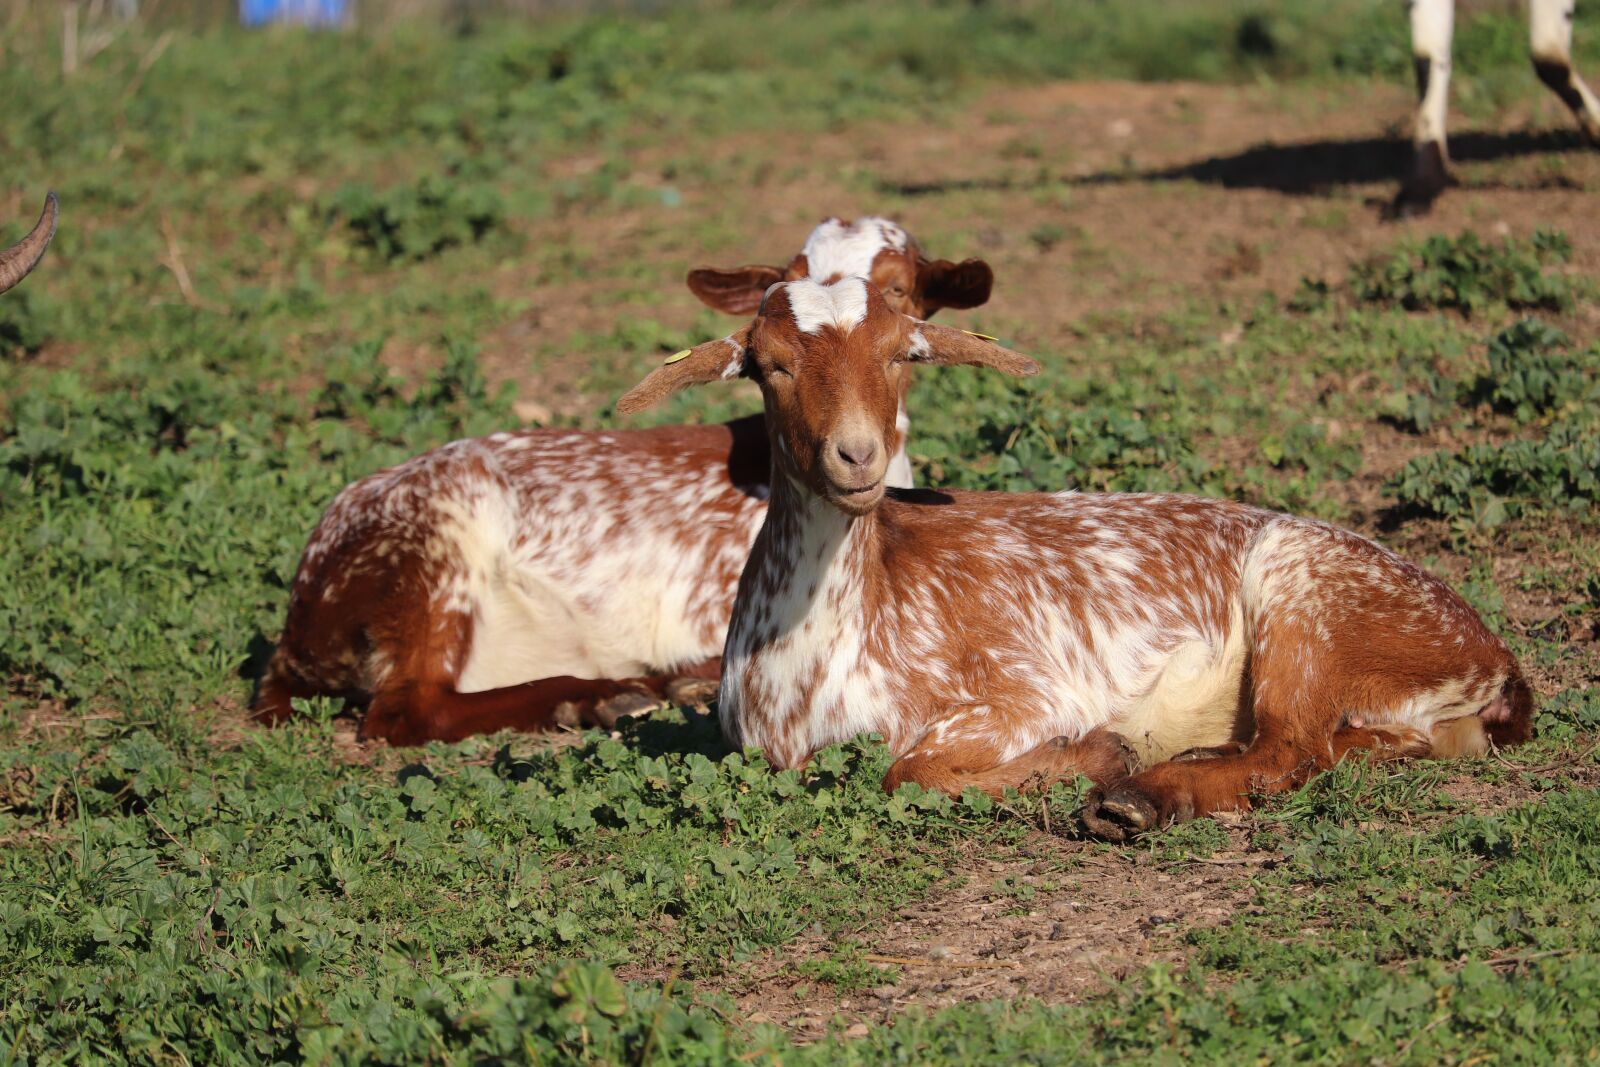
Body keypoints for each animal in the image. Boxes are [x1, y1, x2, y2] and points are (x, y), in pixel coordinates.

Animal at [253, 218, 993, 744]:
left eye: (899, 293)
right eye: (770, 325)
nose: (853, 449)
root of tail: (297, 623)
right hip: (435, 545)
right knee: (405, 708)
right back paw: (607, 694)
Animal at [616, 277, 1533, 838]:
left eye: (901, 353)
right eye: (770, 366)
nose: (857, 455)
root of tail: (1495, 657)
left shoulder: (1027, 690)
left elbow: (905, 769)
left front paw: (1095, 755)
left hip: (1305, 593)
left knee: (1288, 748)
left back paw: (1137, 796)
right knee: (1342, 748)